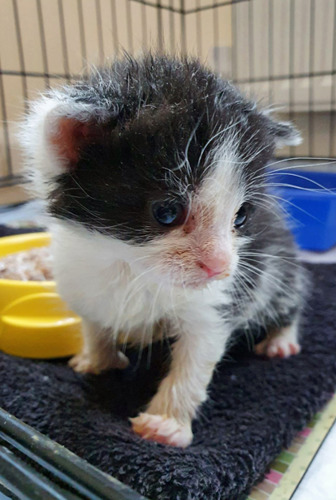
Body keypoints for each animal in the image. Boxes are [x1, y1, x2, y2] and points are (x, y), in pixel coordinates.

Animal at [20, 53, 304, 446]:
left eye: (242, 216)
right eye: (167, 212)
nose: (220, 267)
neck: (128, 266)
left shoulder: (215, 302)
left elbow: (196, 357)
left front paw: (166, 424)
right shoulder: (79, 275)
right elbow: (94, 321)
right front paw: (97, 360)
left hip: (279, 269)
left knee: (290, 300)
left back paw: (280, 340)